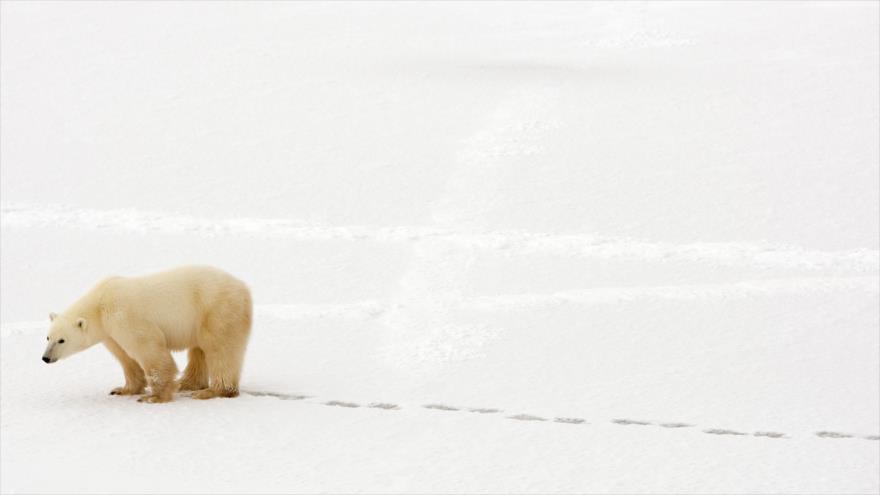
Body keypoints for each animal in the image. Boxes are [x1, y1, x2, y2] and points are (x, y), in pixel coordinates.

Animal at [42, 265, 252, 403]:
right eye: (48, 337)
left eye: (62, 340)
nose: (45, 358)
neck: (100, 303)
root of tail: (243, 287)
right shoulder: (110, 332)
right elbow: (125, 357)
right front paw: (122, 389)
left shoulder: (124, 315)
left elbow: (148, 349)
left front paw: (153, 396)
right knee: (199, 351)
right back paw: (187, 384)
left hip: (216, 309)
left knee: (220, 348)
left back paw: (212, 391)